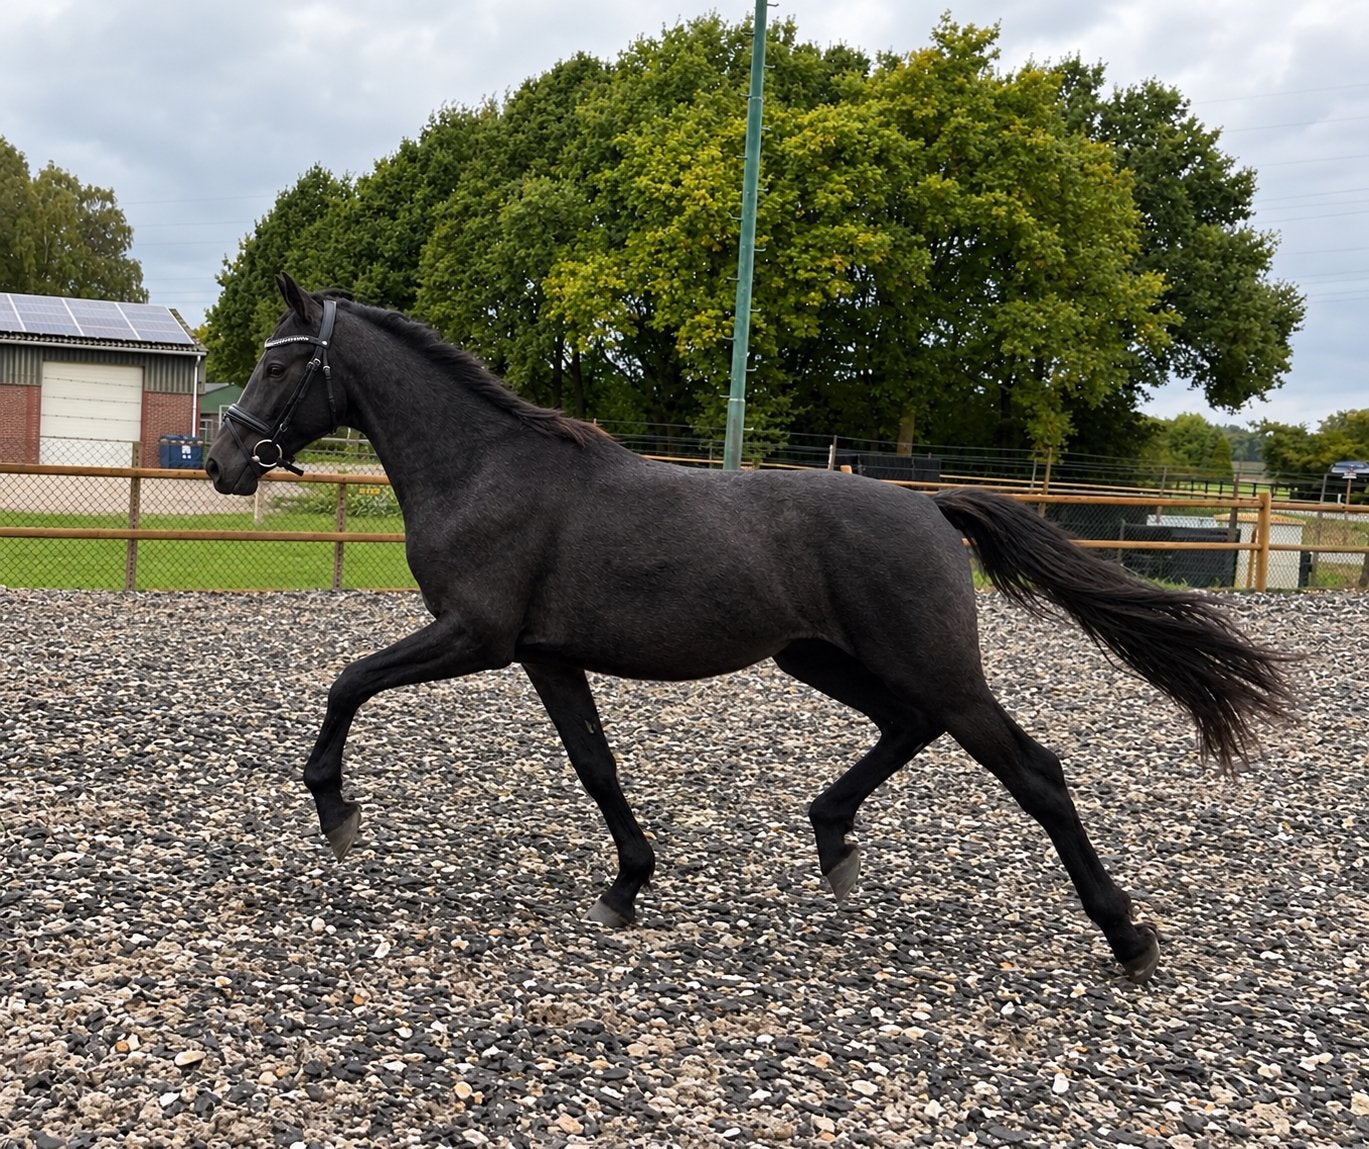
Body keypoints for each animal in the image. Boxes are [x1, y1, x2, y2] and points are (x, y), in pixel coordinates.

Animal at [206, 273, 1291, 982]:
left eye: (275, 364)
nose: (222, 465)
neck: (485, 471)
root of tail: (930, 507)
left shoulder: (475, 636)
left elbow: (348, 680)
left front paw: (336, 811)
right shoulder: (546, 657)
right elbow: (594, 765)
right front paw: (627, 886)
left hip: (930, 664)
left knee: (1033, 769)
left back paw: (1127, 937)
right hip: (821, 658)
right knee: (907, 729)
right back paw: (833, 839)